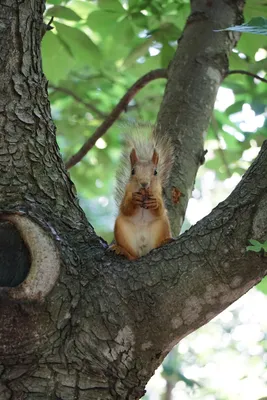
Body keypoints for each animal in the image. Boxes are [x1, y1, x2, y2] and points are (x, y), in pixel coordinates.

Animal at [110, 126, 175, 260]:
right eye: (133, 171)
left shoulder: (158, 194)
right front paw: (134, 200)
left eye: (155, 172)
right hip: (121, 229)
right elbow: (125, 208)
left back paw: (164, 242)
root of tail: (143, 251)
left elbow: (160, 208)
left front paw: (154, 203)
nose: (144, 183)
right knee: (133, 255)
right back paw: (123, 251)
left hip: (163, 225)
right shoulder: (127, 193)